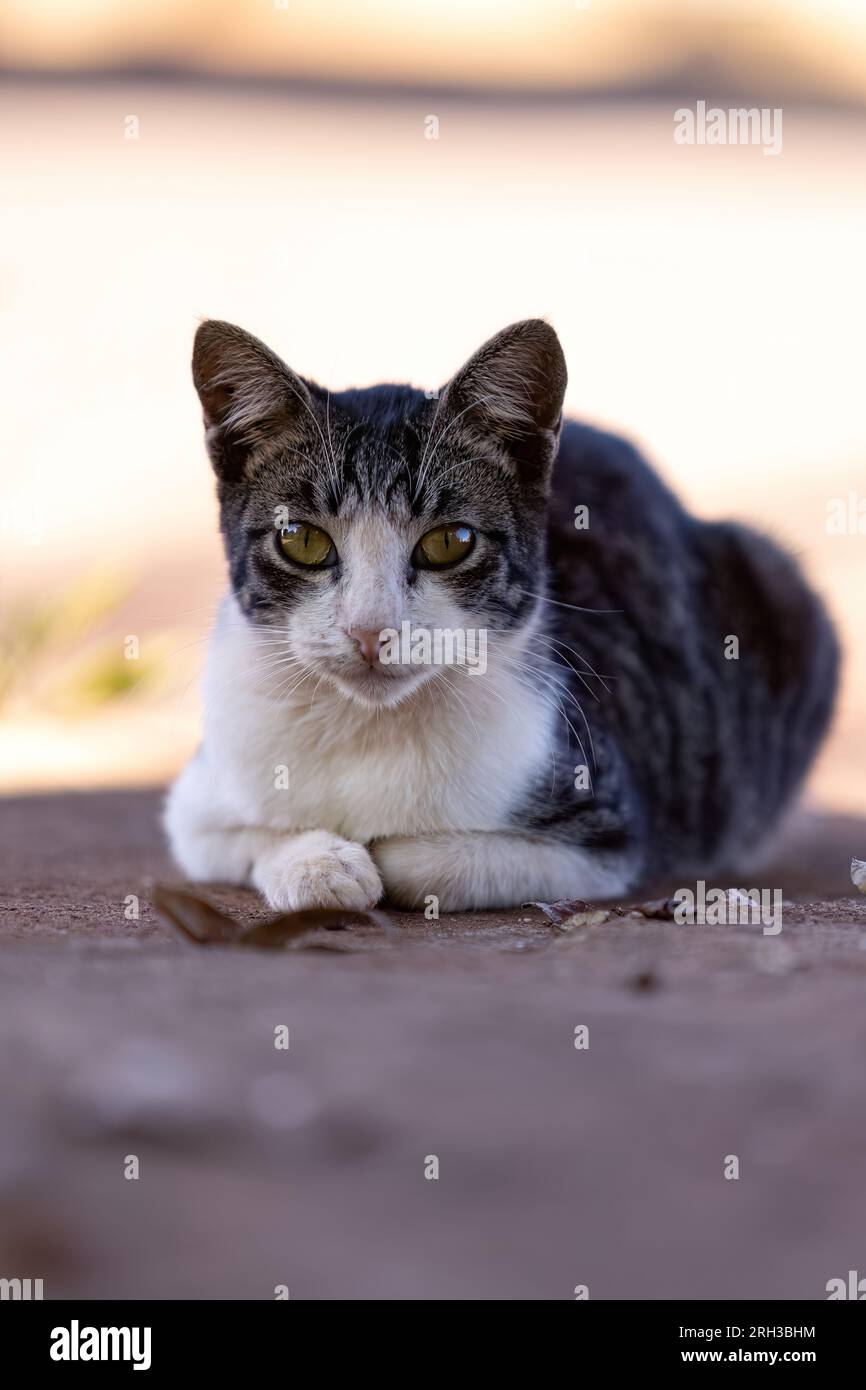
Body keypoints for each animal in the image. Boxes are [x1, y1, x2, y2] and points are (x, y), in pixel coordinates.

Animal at [162, 315, 839, 911]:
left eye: (450, 541)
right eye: (301, 539)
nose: (370, 630)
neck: (370, 729)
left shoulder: (609, 826)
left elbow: (432, 860)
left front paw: (380, 854)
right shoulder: (197, 801)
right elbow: (238, 835)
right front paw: (320, 865)